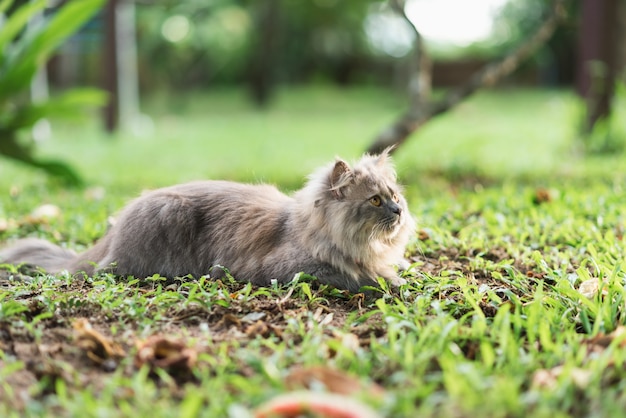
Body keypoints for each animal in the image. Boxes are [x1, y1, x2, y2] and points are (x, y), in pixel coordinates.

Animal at [4, 151, 416, 294]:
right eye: (375, 201)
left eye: (394, 196)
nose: (397, 212)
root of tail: (113, 231)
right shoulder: (290, 268)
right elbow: (352, 275)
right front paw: (387, 282)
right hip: (167, 216)